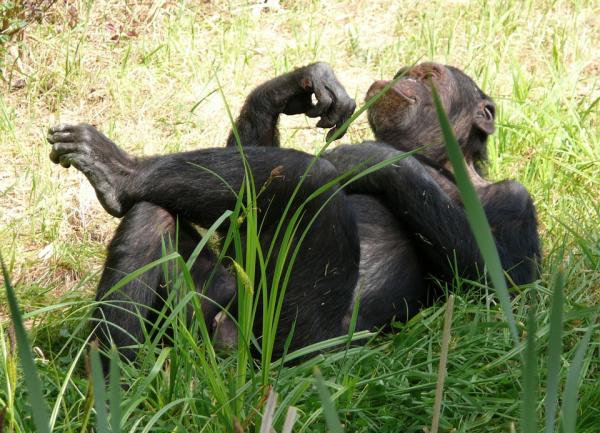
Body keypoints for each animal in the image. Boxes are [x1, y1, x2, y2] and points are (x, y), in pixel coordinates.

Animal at [49, 60, 540, 364]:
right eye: (407, 72)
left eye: (429, 75)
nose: (404, 79)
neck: (441, 165)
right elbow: (240, 229)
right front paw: (296, 86)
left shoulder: (516, 200)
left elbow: (504, 286)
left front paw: (372, 157)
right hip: (201, 320)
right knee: (154, 213)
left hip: (296, 343)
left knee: (311, 178)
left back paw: (120, 172)